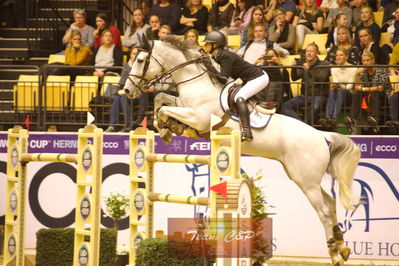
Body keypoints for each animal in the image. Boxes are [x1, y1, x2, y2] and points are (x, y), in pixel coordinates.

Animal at [123, 35, 360, 266]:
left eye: (141, 60)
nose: (126, 90)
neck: (195, 81)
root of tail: (321, 136)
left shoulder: (198, 117)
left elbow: (165, 107)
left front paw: (169, 128)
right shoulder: (182, 105)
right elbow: (161, 99)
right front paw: (166, 128)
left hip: (307, 181)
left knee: (324, 212)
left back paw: (334, 254)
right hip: (302, 177)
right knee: (331, 203)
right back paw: (343, 247)